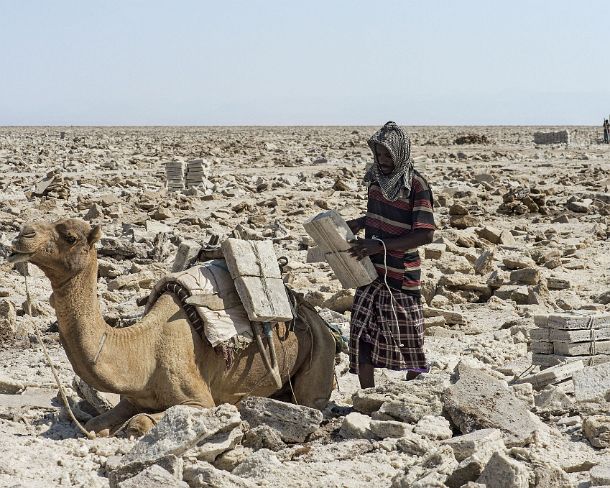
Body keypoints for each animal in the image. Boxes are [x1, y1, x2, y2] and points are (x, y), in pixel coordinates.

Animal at [7, 219, 334, 436]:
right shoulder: (131, 398)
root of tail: (308, 309)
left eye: (71, 237)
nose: (22, 234)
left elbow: (140, 422)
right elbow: (96, 423)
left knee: (313, 402)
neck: (142, 348)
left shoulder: (202, 402)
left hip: (322, 352)